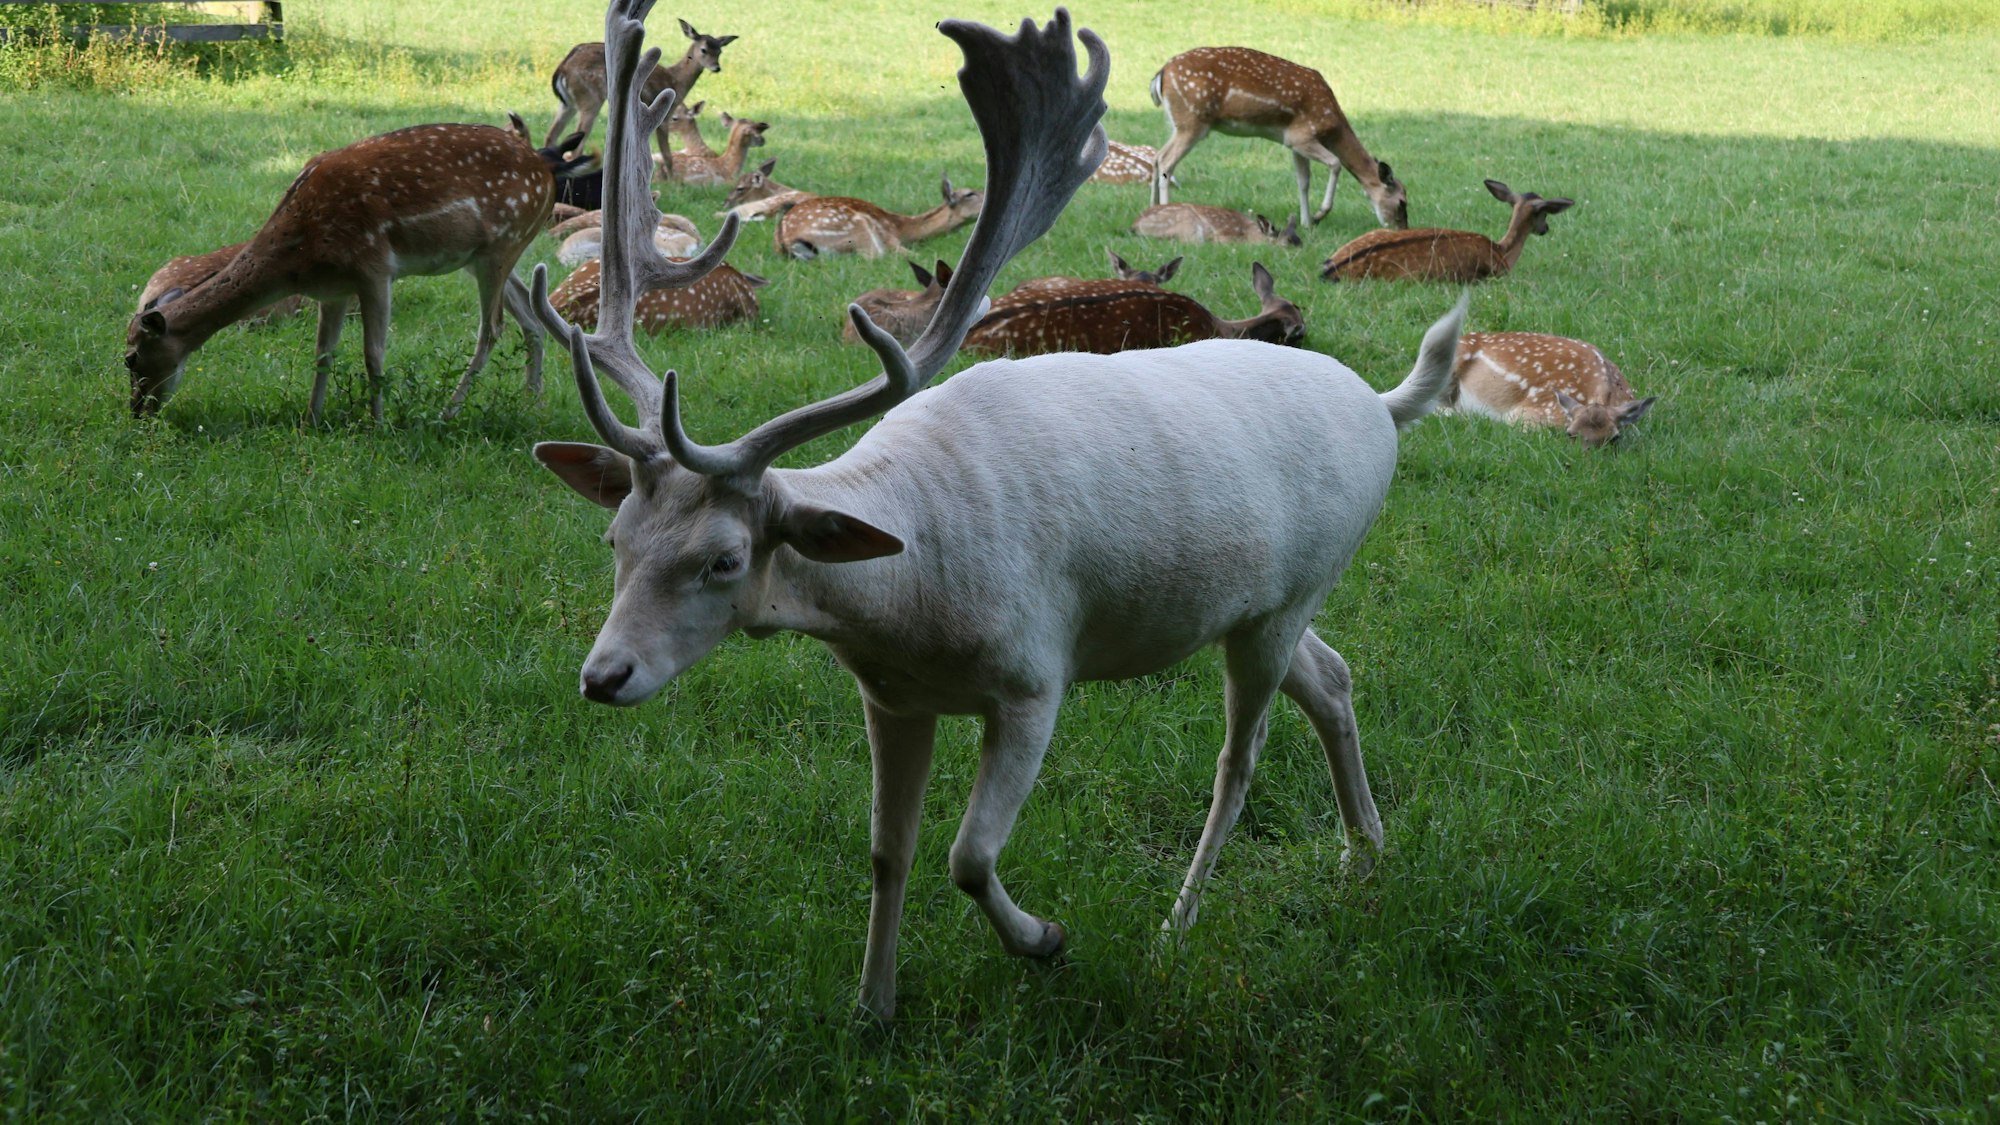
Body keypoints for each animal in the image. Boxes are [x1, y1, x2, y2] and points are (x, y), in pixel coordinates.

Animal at [542, 20, 737, 151]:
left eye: (720, 51)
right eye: (704, 49)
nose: (717, 67)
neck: (676, 79)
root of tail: (562, 68)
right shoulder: (667, 114)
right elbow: (666, 153)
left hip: (568, 103)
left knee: (551, 136)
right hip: (590, 99)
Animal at [772, 175, 984, 260]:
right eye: (969, 194)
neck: (901, 228)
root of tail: (786, 241)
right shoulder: (890, 239)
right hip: (856, 228)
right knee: (873, 257)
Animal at [1151, 46, 1407, 231]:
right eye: (1402, 201)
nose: (1402, 228)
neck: (1332, 124)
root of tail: (1160, 74)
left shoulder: (1294, 144)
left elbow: (1303, 181)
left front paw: (1306, 223)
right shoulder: (1302, 136)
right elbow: (1335, 163)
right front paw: (1319, 215)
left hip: (1180, 124)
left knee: (1157, 156)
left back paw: (1151, 209)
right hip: (1192, 121)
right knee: (1167, 161)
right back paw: (1165, 211)